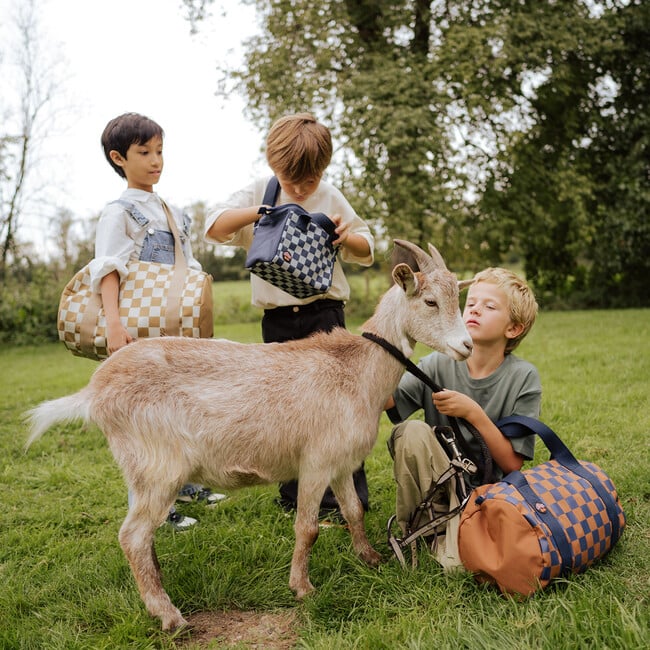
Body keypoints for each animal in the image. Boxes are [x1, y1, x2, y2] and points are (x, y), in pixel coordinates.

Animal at [25, 238, 470, 628]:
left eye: (456, 297)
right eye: (430, 301)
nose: (466, 345)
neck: (355, 369)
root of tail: (94, 391)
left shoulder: (341, 463)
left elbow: (354, 511)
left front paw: (371, 559)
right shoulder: (315, 462)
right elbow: (307, 527)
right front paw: (303, 588)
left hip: (141, 470)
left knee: (141, 535)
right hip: (159, 466)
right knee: (132, 535)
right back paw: (170, 617)